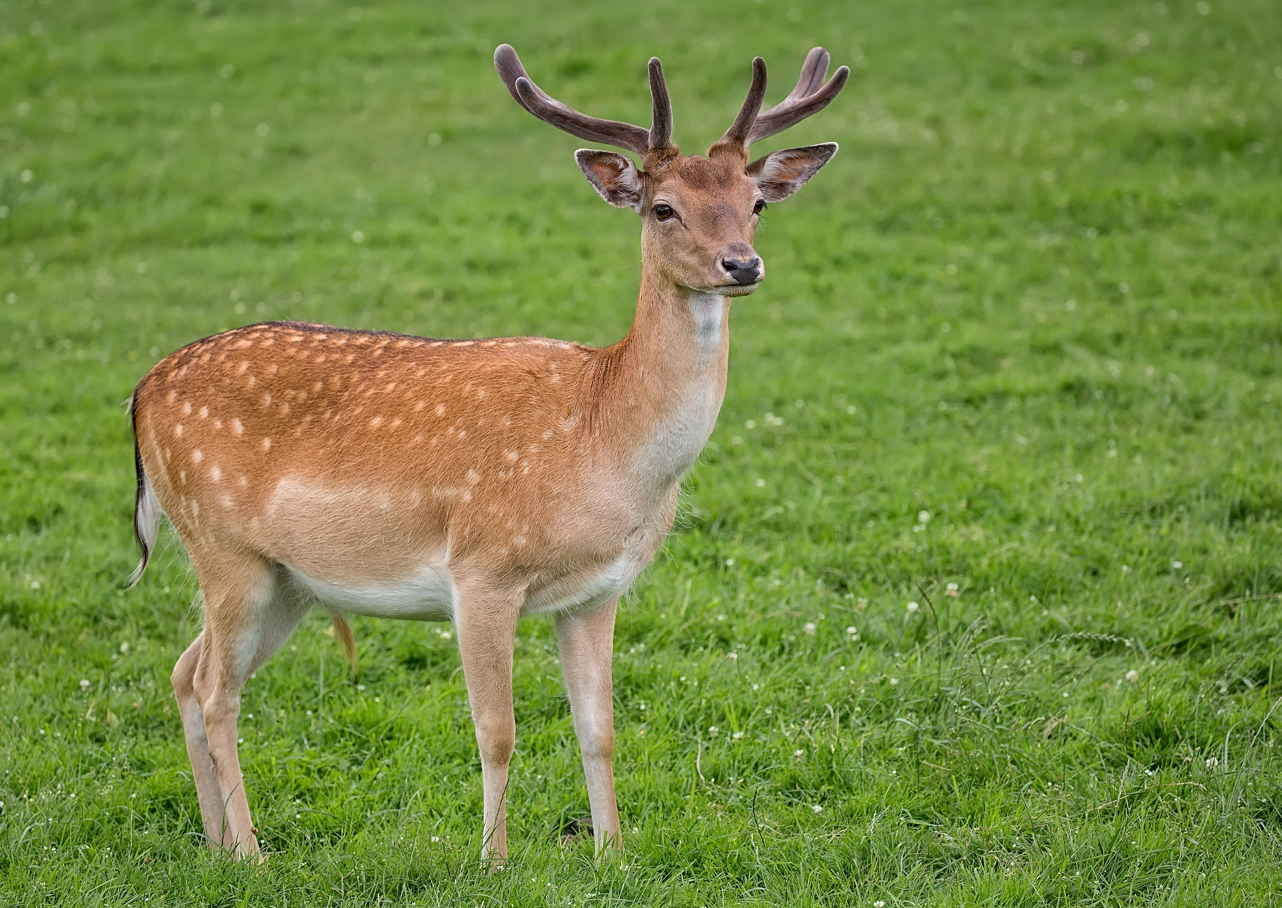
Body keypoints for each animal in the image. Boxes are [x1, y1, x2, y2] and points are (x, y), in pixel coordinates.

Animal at [127, 42, 851, 866]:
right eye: (662, 208)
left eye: (755, 202)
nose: (741, 265)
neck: (602, 445)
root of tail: (140, 394)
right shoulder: (481, 569)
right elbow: (496, 731)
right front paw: (494, 861)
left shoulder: (599, 591)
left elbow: (599, 728)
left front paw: (612, 853)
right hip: (223, 547)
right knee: (216, 688)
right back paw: (251, 852)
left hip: (288, 582)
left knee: (184, 670)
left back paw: (215, 842)